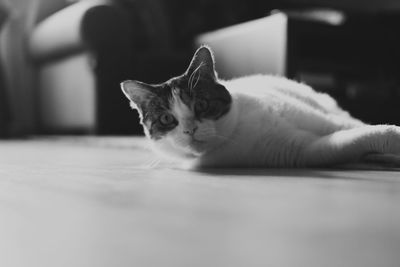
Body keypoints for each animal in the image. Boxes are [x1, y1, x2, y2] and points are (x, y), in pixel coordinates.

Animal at [120, 45, 400, 169]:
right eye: (167, 120)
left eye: (201, 104)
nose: (190, 129)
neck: (239, 132)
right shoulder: (306, 151)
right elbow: (356, 138)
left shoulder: (323, 121)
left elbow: (364, 128)